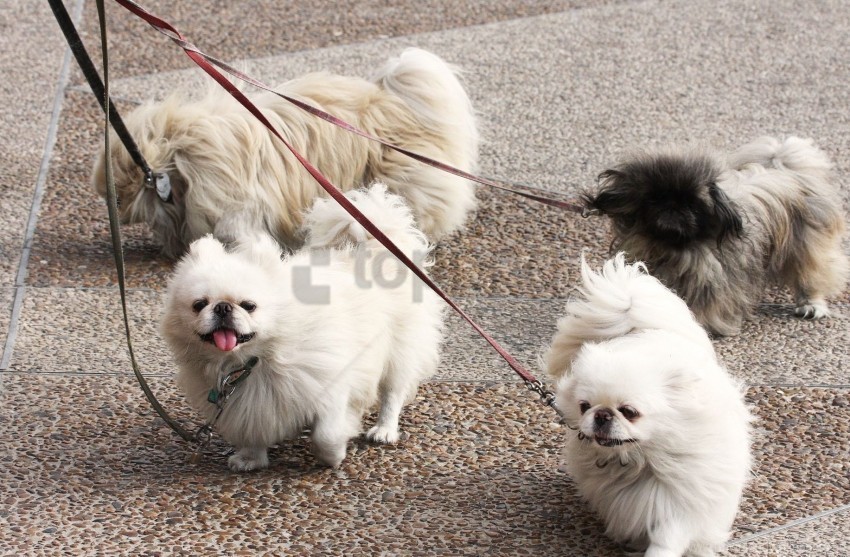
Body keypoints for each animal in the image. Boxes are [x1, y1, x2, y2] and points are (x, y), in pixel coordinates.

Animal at [159, 185, 444, 472]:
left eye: (249, 306)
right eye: (199, 305)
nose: (223, 308)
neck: (253, 359)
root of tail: (372, 253)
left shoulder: (330, 382)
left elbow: (327, 433)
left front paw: (332, 456)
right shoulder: (246, 402)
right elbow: (253, 427)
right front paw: (250, 458)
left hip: (399, 351)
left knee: (392, 394)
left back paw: (384, 430)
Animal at [544, 255, 748, 556]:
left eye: (630, 412)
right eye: (584, 406)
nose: (602, 414)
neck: (640, 457)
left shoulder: (678, 502)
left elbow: (666, 539)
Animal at [580, 136, 844, 334]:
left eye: (693, 204)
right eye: (655, 198)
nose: (672, 206)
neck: (676, 248)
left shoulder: (711, 278)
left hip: (806, 247)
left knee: (811, 275)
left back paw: (811, 305)